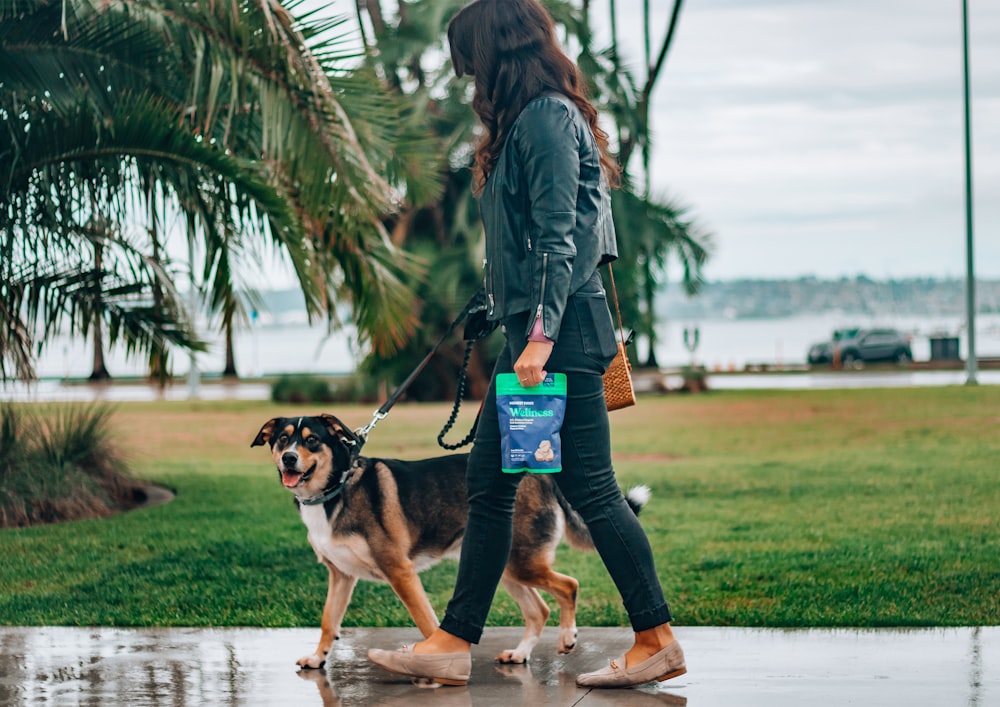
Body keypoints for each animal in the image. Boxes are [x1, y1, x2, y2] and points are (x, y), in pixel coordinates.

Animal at [254, 414, 652, 668]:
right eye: (282, 439)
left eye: (312, 440)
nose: (289, 458)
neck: (335, 489)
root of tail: (537, 474)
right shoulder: (340, 576)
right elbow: (328, 621)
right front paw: (318, 659)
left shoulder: (400, 572)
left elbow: (427, 623)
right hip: (504, 565)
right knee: (538, 610)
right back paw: (520, 654)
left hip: (522, 563)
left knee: (569, 585)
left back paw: (568, 637)